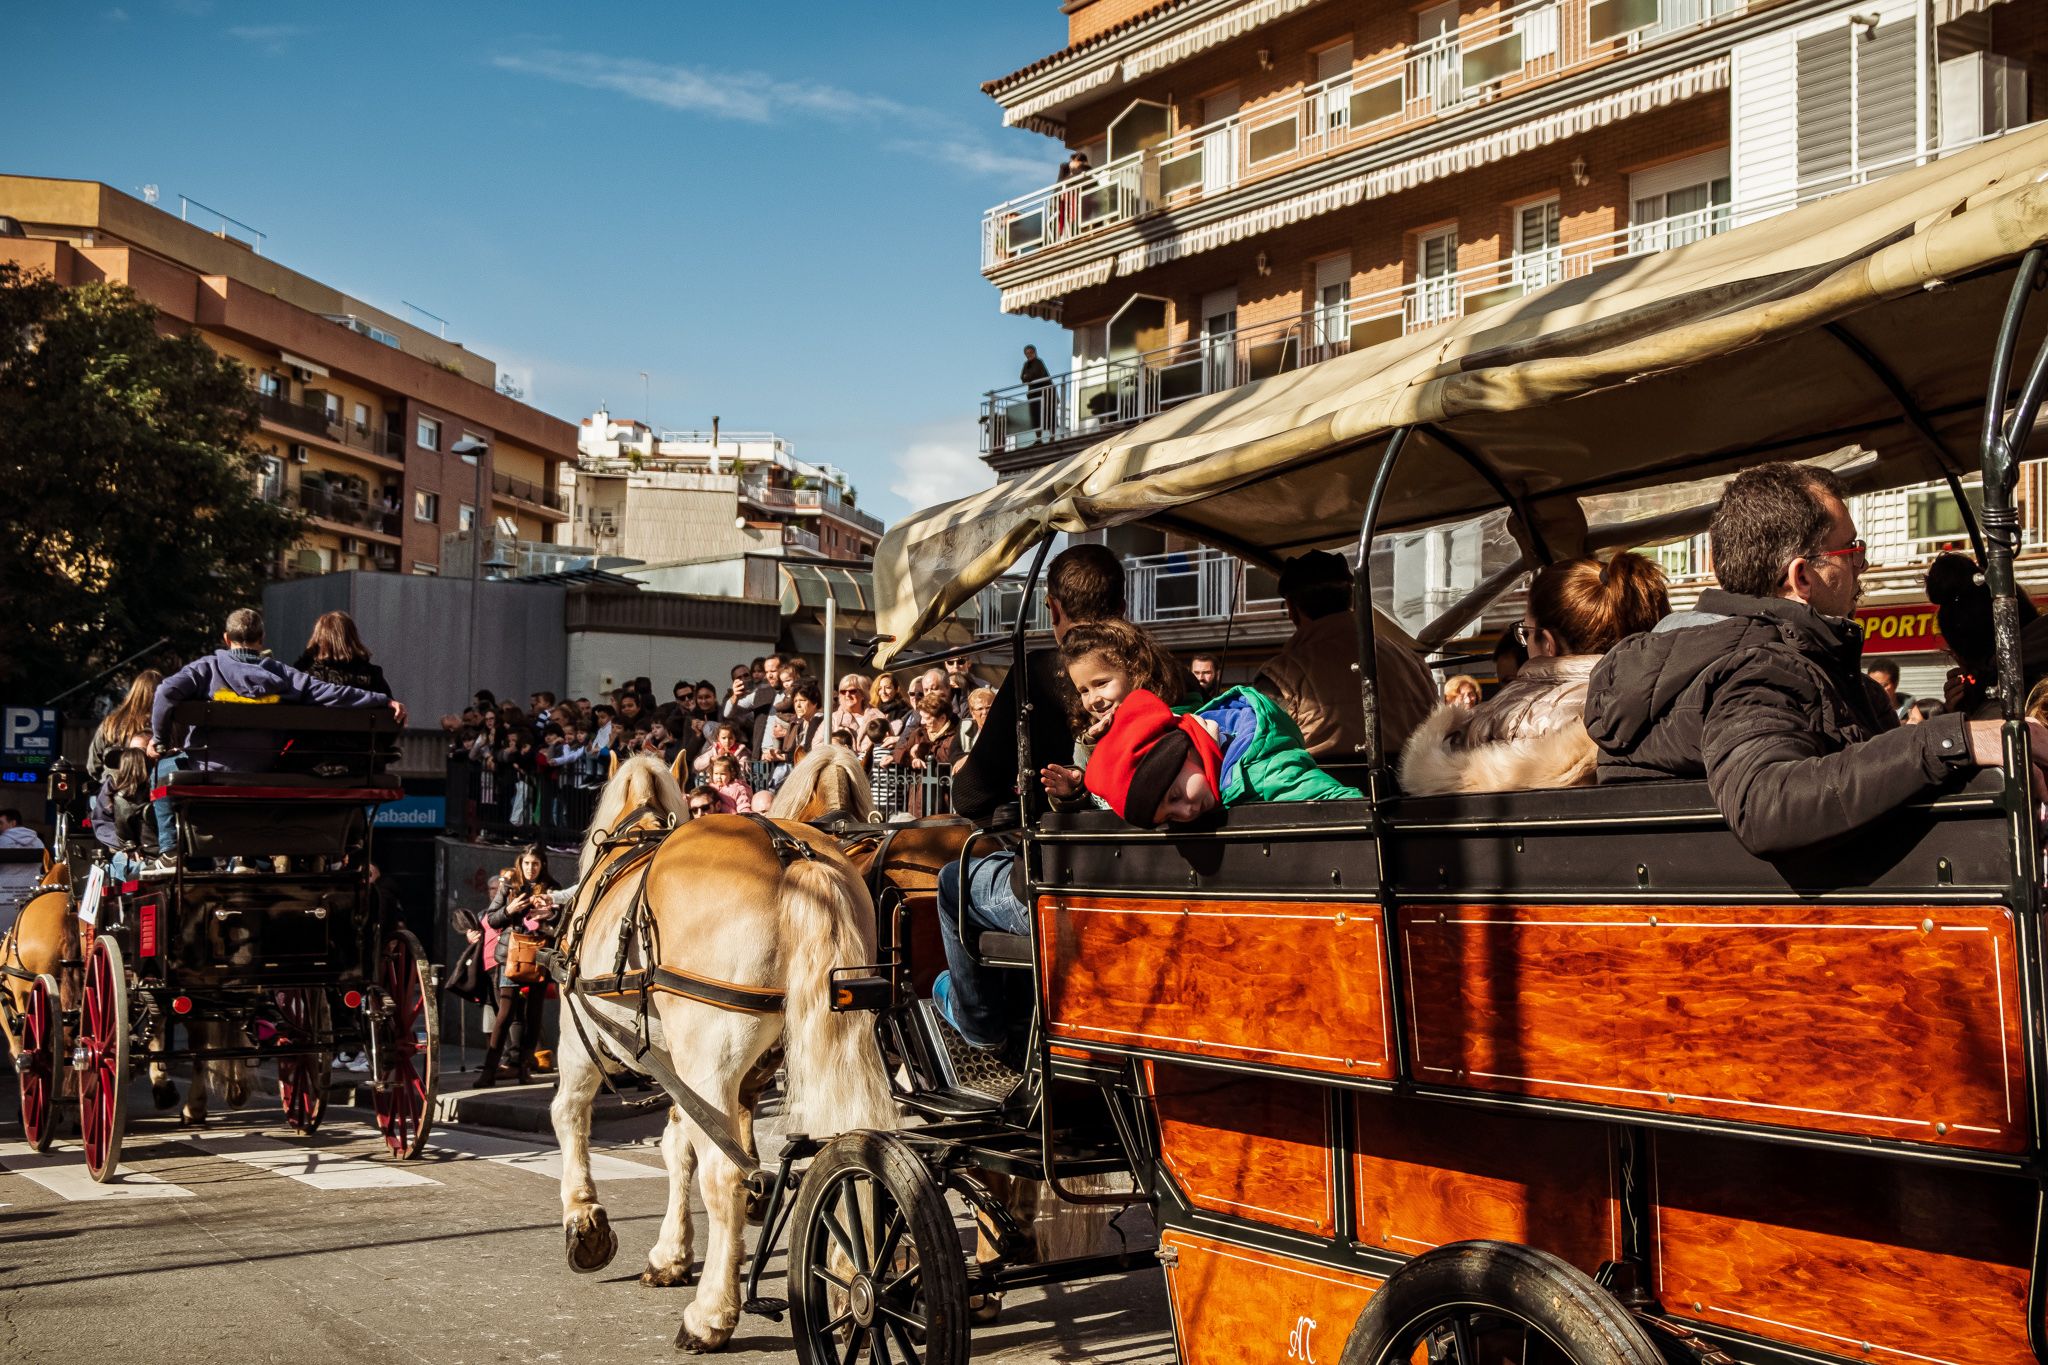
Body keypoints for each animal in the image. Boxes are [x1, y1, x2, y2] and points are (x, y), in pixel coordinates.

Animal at [552, 749, 897, 1358]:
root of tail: (793, 853)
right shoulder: (689, 1071)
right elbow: (677, 1147)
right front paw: (670, 1254)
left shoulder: (582, 1041)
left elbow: (570, 1115)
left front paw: (585, 1223)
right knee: (850, 1156)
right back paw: (847, 1287)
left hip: (706, 1056)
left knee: (727, 1178)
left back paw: (710, 1315)